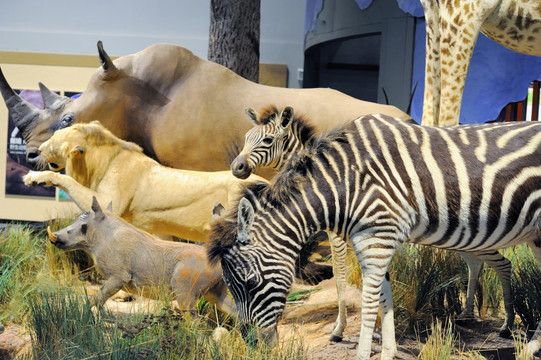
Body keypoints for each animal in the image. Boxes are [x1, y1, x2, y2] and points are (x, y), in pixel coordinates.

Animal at [210, 113, 540, 360]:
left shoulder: (376, 240)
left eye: (250, 283)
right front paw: (388, 351)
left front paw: (354, 343)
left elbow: (366, 302)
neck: (345, 183)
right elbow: (385, 296)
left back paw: (521, 341)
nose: (253, 345)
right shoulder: (374, 241)